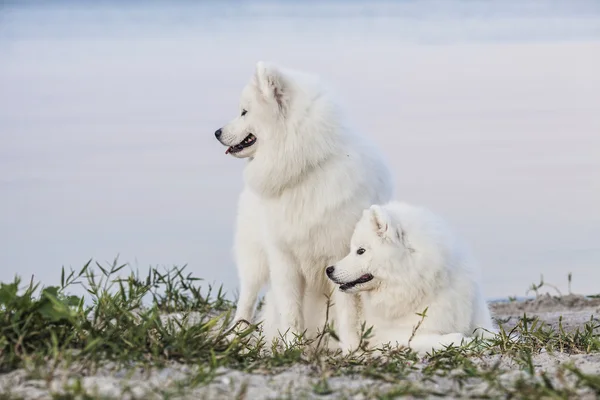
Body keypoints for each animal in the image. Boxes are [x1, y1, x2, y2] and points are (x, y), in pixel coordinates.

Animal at [214, 61, 394, 348]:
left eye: (244, 112)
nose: (217, 132)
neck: (305, 170)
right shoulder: (283, 258)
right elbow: (290, 309)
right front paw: (291, 346)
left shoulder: (339, 257)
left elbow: (347, 313)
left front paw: (350, 349)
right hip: (254, 258)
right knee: (247, 298)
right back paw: (235, 335)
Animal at [326, 203, 494, 354]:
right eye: (353, 250)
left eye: (361, 251)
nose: (328, 270)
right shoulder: (389, 337)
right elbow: (445, 338)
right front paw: (466, 341)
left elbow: (489, 334)